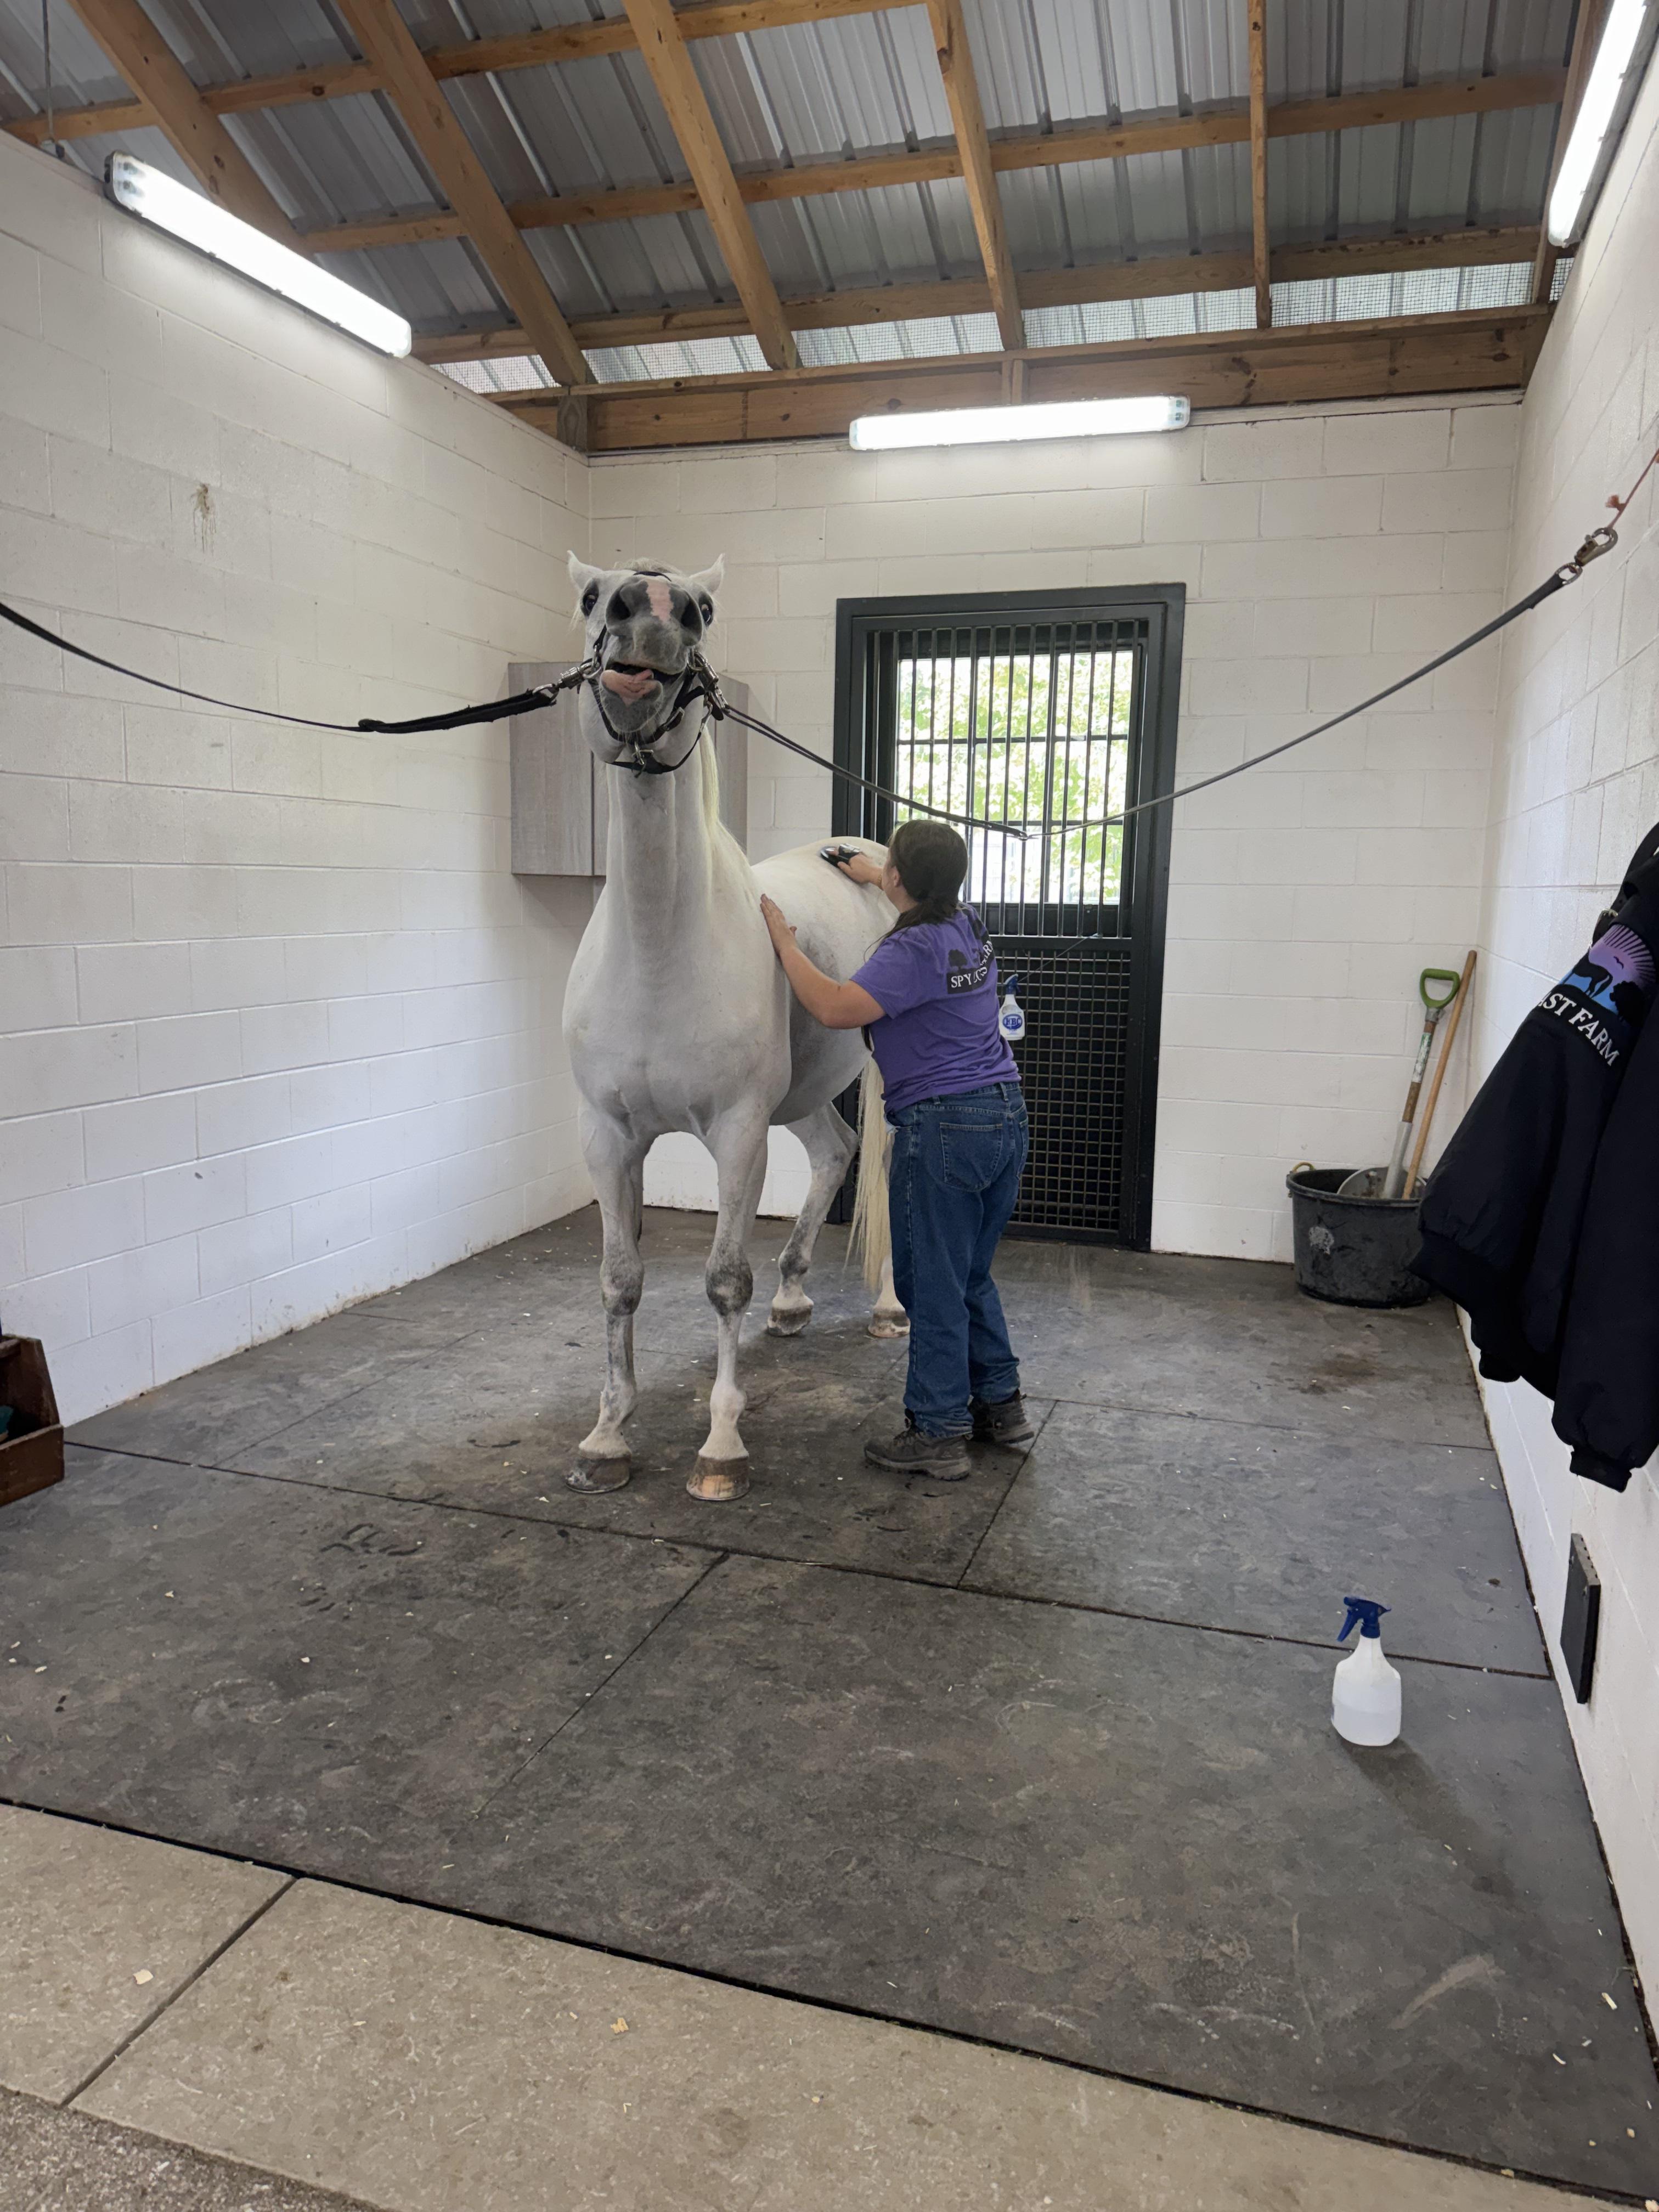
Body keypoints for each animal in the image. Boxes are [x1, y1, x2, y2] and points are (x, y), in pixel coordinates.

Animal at [560, 554, 907, 1502]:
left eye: (704, 610)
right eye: (592, 597)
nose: (650, 614)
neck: (660, 951)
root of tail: (869, 855)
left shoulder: (739, 1132)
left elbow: (721, 1282)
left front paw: (720, 1445)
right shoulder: (608, 1136)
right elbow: (619, 1282)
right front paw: (608, 1434)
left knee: (882, 1165)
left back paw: (890, 1309)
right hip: (805, 1094)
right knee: (832, 1152)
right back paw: (791, 1303)